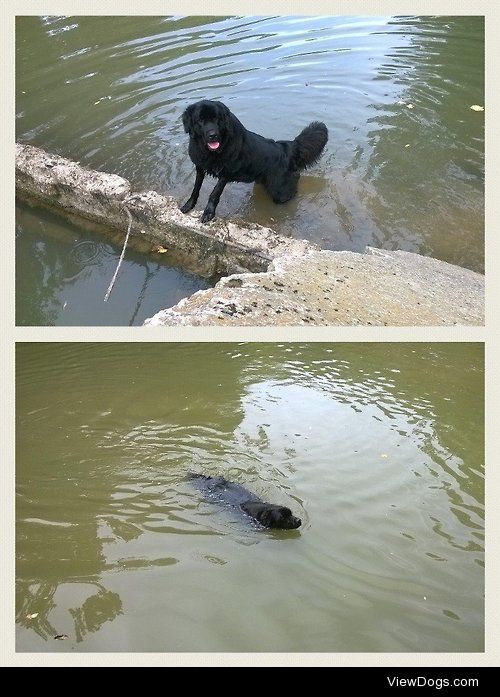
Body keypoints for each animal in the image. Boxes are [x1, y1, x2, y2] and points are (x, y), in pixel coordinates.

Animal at [179, 98, 328, 220]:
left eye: (217, 119)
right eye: (200, 120)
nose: (213, 135)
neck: (212, 152)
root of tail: (286, 147)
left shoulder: (226, 172)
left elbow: (215, 192)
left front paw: (209, 212)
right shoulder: (200, 167)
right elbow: (196, 188)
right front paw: (189, 205)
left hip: (279, 190)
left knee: (292, 188)